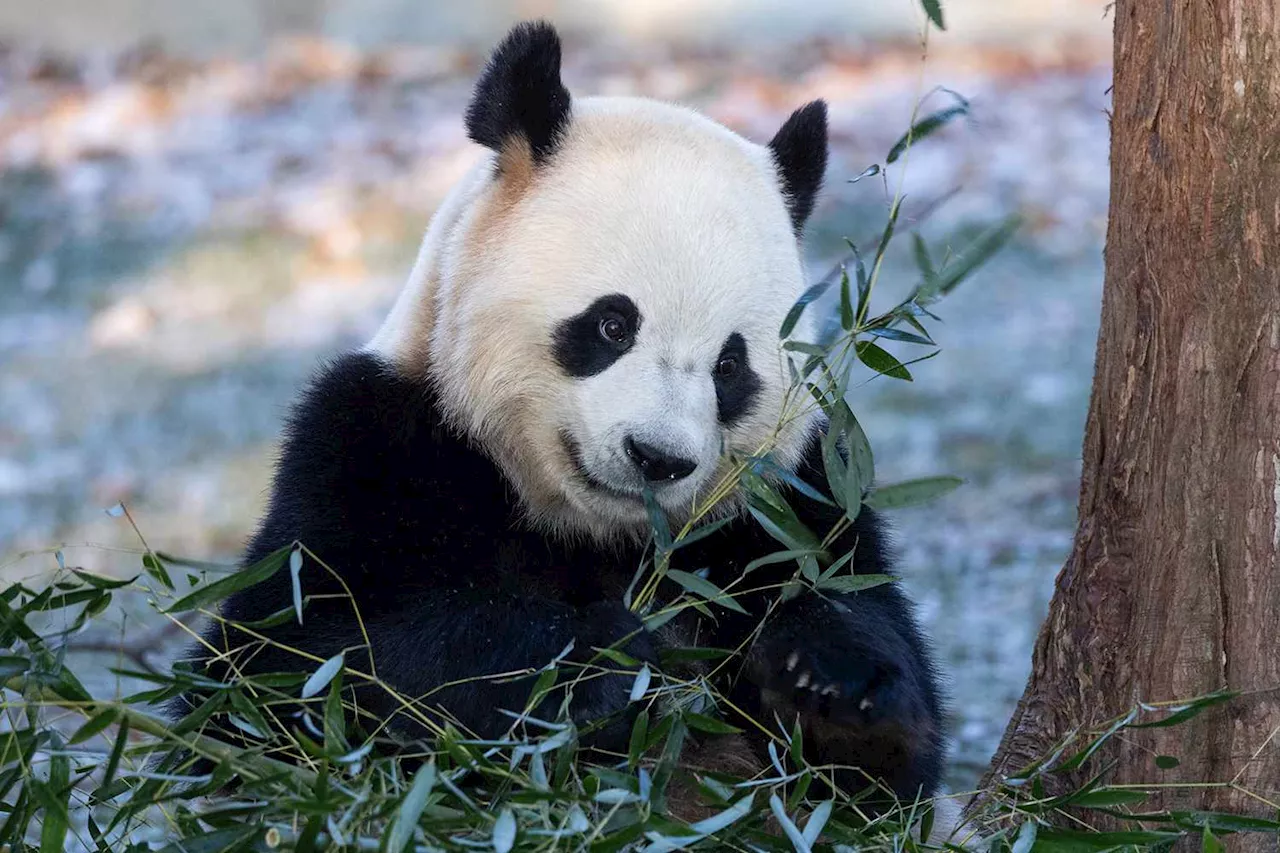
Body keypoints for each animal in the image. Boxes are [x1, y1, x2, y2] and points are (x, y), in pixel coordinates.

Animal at [172, 21, 942, 809]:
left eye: (730, 366)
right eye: (612, 324)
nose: (657, 457)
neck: (596, 534)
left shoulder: (795, 495)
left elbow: (886, 741)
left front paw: (831, 682)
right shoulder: (369, 450)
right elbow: (282, 672)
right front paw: (596, 659)